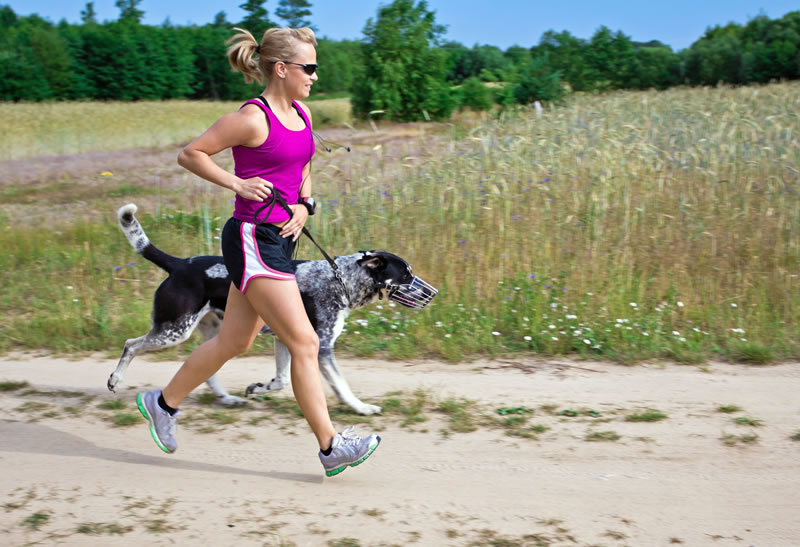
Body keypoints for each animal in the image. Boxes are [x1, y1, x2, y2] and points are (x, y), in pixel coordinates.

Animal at [109, 204, 434, 416]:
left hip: (217, 333)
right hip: (173, 330)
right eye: (406, 275)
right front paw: (361, 408)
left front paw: (258, 389)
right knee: (130, 344)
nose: (433, 294)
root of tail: (179, 264)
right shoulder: (320, 347)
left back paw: (227, 399)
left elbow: (281, 380)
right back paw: (115, 379)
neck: (340, 279)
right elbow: (341, 386)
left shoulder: (286, 339)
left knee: (205, 367)